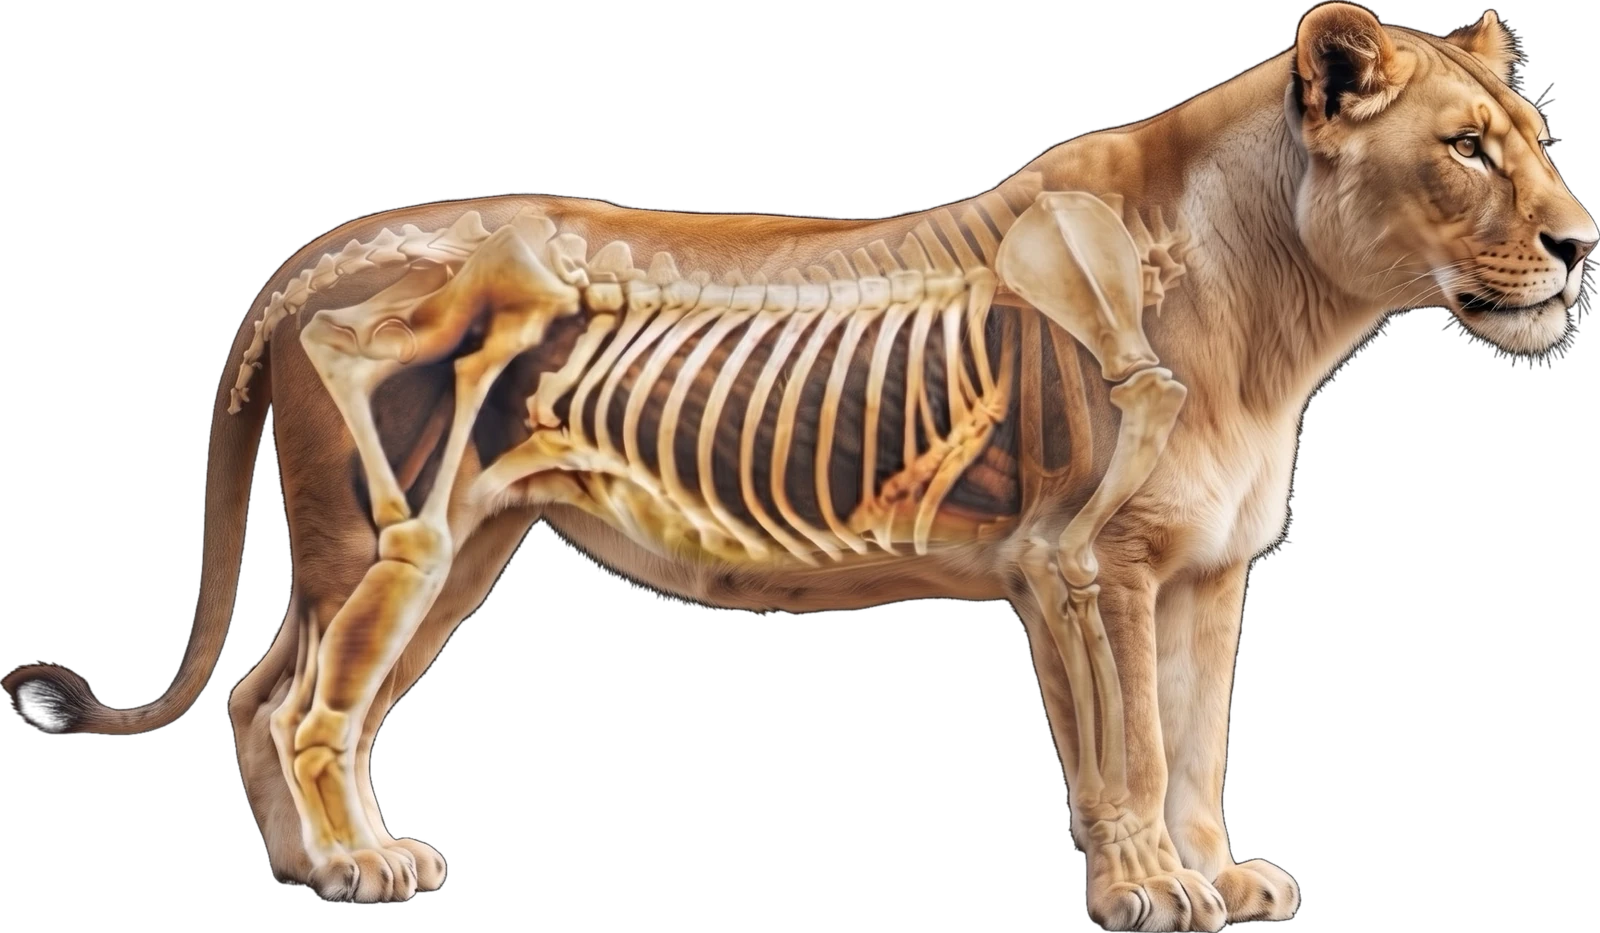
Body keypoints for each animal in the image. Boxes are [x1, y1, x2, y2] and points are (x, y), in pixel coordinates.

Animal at [3, 4, 1592, 928]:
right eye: (1465, 149)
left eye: (1535, 141)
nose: (1581, 242)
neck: (1285, 316)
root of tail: (323, 251)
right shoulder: (1084, 564)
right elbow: (1131, 745)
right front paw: (1149, 889)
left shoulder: (1207, 572)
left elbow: (1197, 743)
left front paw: (1220, 875)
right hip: (397, 535)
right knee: (307, 709)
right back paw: (353, 866)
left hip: (444, 556)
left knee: (265, 696)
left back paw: (305, 865)